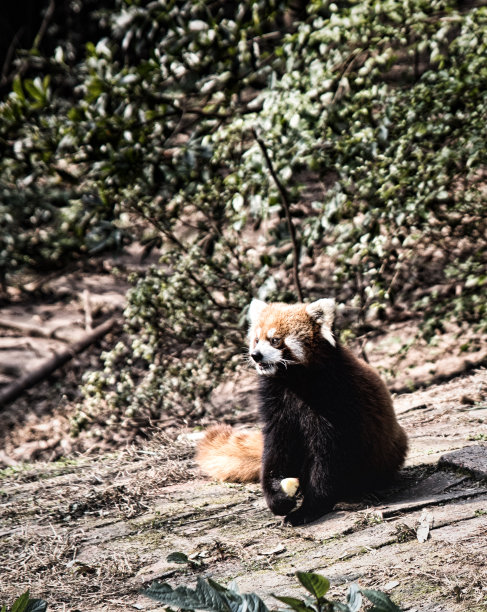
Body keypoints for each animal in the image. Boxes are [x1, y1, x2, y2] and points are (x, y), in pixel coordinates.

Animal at [196, 298, 410, 524]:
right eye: (256, 339)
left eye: (275, 340)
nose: (255, 355)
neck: (294, 381)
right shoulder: (276, 404)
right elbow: (276, 449)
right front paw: (279, 498)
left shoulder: (336, 402)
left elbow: (327, 459)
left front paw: (309, 508)